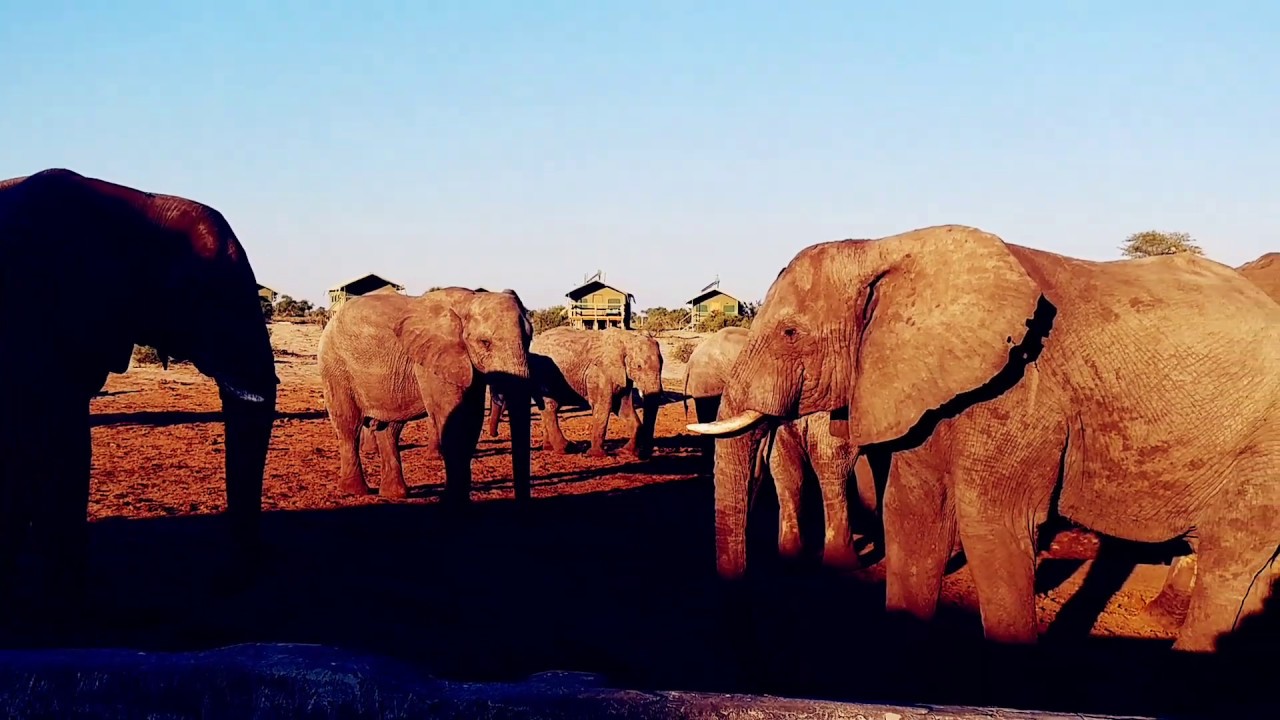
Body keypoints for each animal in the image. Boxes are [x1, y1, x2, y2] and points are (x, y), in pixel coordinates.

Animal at [317, 287, 534, 503]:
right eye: (485, 343)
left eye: (529, 338)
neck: (468, 300)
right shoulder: (433, 361)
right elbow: (454, 423)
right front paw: (452, 501)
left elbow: (471, 421)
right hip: (335, 366)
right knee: (349, 426)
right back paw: (355, 491)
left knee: (389, 430)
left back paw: (395, 494)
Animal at [496, 327, 663, 459]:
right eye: (639, 367)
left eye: (662, 365)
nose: (646, 454)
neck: (627, 339)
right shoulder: (600, 373)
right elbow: (603, 407)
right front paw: (596, 455)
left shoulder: (621, 376)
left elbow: (623, 408)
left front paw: (626, 452)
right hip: (543, 374)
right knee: (550, 406)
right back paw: (565, 448)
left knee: (547, 407)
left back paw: (549, 448)